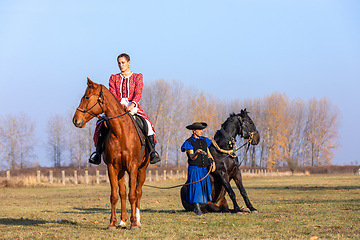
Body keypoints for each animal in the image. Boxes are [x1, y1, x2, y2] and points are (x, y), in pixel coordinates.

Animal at [72, 78, 148, 230]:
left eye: (87, 97)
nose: (75, 120)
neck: (121, 132)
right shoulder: (112, 167)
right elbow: (114, 195)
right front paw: (112, 223)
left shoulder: (133, 166)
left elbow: (133, 194)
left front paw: (134, 224)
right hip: (121, 170)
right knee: (122, 193)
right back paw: (122, 221)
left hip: (141, 170)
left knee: (138, 192)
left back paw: (137, 220)